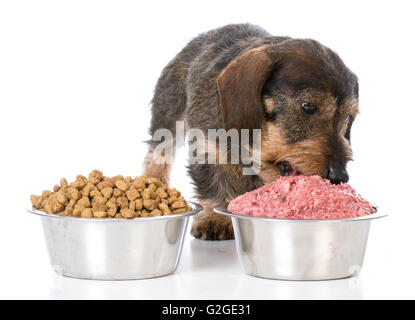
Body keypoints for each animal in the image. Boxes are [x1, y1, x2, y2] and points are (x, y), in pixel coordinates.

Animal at [143, 23, 358, 240]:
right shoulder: (207, 149)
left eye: (347, 117)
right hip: (169, 114)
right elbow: (214, 186)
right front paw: (215, 219)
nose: (340, 176)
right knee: (158, 153)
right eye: (308, 107)